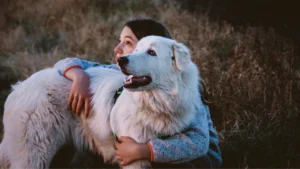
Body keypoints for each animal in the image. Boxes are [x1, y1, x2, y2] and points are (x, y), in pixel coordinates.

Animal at [0, 35, 202, 168]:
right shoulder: (134, 158)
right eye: (136, 50)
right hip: (34, 155)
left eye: (152, 52)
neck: (156, 103)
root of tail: (18, 88)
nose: (121, 60)